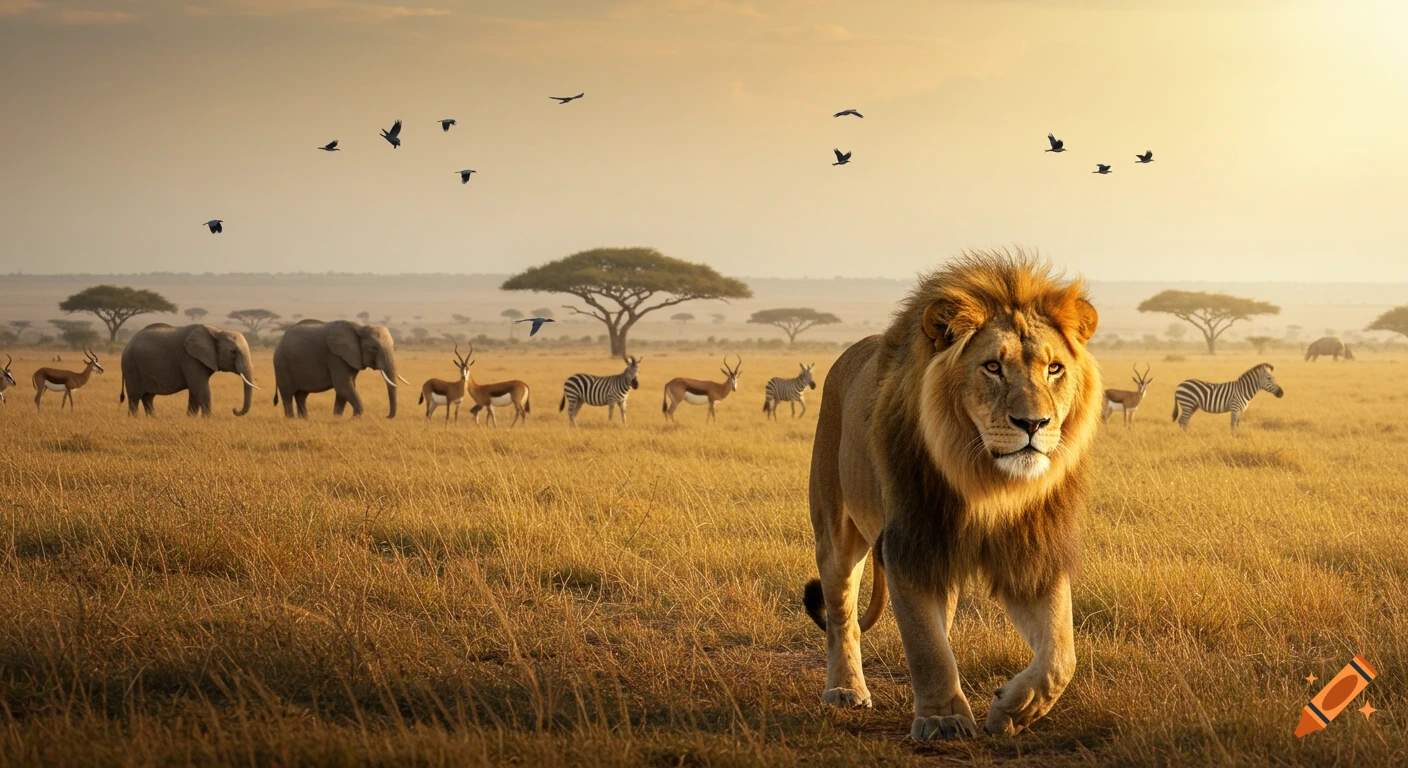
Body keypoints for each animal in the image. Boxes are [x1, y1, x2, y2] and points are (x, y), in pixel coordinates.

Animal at [120, 323, 258, 417]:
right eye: (233, 352)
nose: (234, 410)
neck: (216, 331)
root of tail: (127, 345)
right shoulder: (189, 359)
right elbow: (200, 389)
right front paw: (206, 420)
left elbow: (194, 392)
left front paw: (191, 419)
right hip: (131, 366)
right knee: (134, 397)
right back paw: (134, 419)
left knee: (148, 398)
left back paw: (152, 419)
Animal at [273, 319, 406, 418]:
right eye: (373, 348)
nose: (386, 416)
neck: (360, 327)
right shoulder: (335, 356)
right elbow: (344, 386)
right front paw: (354, 418)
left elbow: (347, 387)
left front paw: (337, 418)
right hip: (282, 364)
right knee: (287, 394)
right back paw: (291, 419)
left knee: (301, 395)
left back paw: (304, 419)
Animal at [802, 249, 1102, 739]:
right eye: (993, 367)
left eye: (1054, 368)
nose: (1034, 423)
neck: (987, 482)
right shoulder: (913, 546)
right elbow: (927, 646)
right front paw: (942, 719)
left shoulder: (1031, 551)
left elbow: (1061, 655)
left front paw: (1014, 709)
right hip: (835, 531)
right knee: (842, 614)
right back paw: (845, 689)